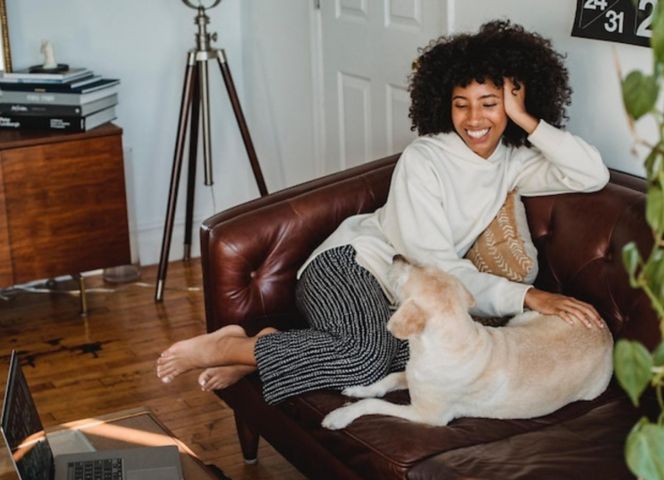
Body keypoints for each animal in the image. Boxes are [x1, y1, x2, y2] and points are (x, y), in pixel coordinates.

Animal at [322, 256, 612, 430]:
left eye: (412, 272)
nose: (396, 256)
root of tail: (606, 330)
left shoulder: (426, 415)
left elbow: (375, 405)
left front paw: (340, 416)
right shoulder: (413, 375)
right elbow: (388, 379)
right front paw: (359, 389)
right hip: (522, 319)